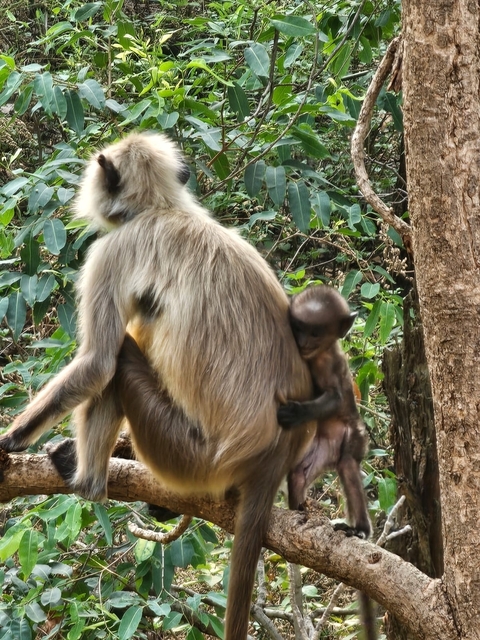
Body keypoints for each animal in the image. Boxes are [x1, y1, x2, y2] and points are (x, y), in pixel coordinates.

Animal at [0, 132, 315, 640]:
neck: (163, 208)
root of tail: (273, 451)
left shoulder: (112, 251)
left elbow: (98, 362)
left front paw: (11, 438)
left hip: (188, 454)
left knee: (119, 363)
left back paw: (88, 480)